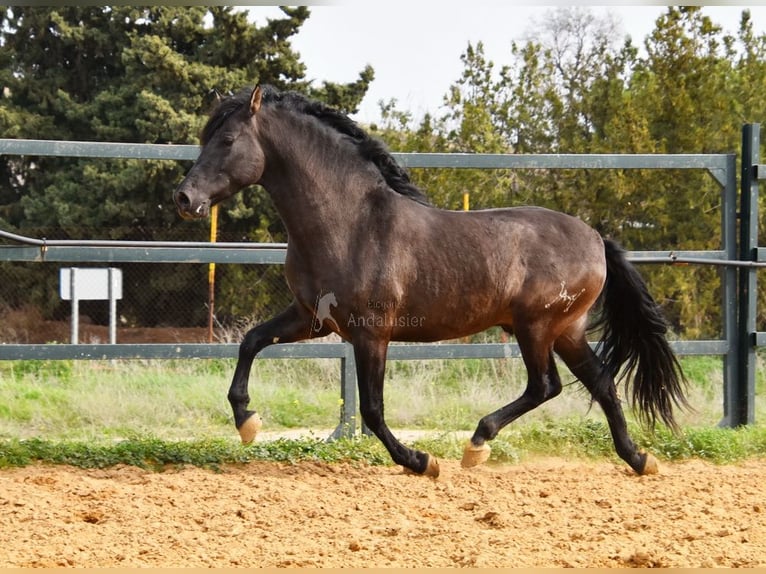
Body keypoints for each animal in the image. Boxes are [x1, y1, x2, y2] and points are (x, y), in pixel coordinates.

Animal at [174, 83, 688, 480]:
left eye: (228, 139)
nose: (184, 198)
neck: (350, 224)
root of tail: (596, 239)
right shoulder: (312, 319)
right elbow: (251, 342)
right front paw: (247, 421)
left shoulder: (371, 333)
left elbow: (372, 408)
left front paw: (421, 461)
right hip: (567, 329)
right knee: (600, 382)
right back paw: (640, 460)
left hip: (537, 327)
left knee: (546, 386)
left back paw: (476, 444)